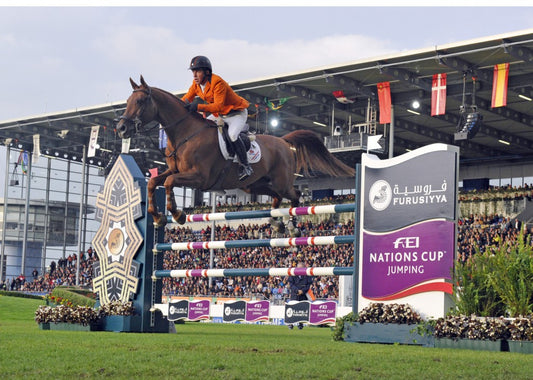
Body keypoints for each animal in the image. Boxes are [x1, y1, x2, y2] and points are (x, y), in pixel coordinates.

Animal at [117, 76, 358, 236]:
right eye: (127, 102)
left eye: (140, 102)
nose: (121, 128)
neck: (185, 133)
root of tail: (283, 141)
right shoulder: (176, 170)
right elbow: (154, 182)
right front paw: (157, 217)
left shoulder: (199, 177)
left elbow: (168, 182)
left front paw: (177, 214)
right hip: (255, 185)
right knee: (276, 197)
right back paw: (276, 223)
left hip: (281, 181)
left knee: (296, 195)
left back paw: (292, 226)